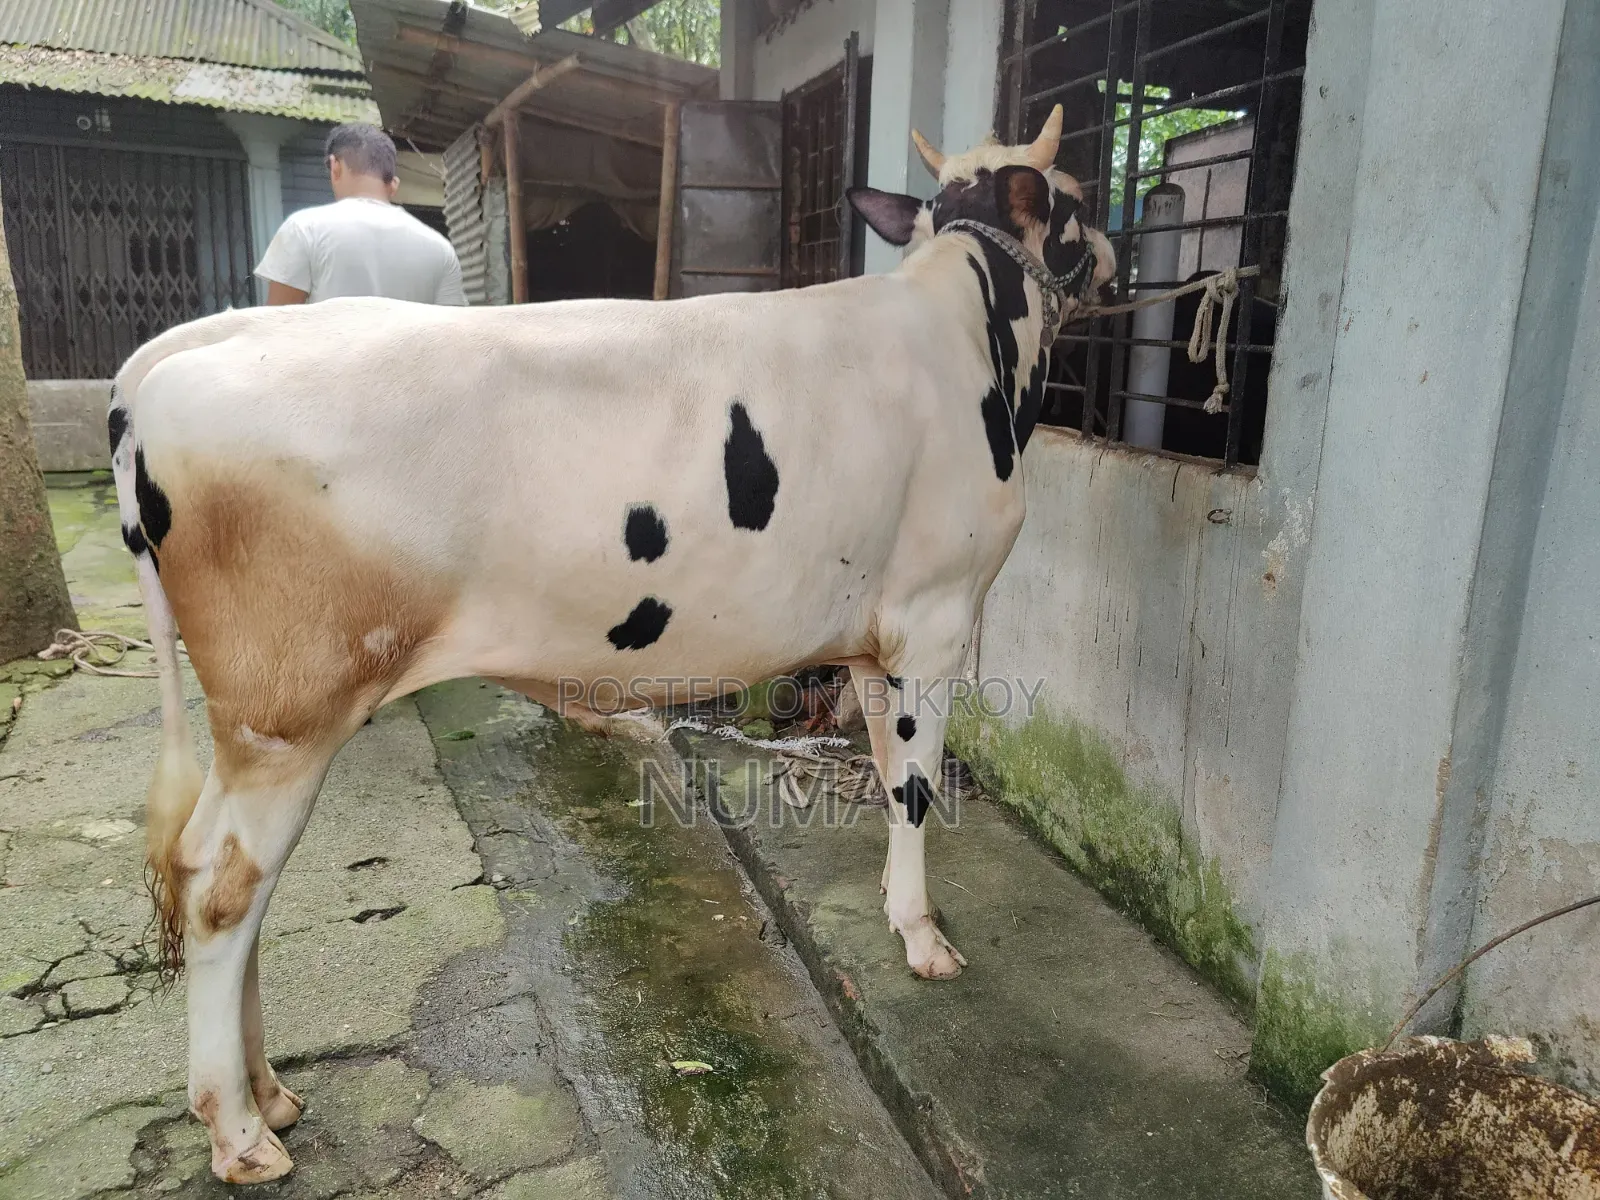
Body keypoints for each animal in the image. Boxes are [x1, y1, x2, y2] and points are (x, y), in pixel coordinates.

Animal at [109, 106, 1113, 1183]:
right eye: (1077, 201)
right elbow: (919, 785)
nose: (1112, 250)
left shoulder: (875, 636)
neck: (967, 324)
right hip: (288, 714)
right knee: (224, 893)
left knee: (215, 875)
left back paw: (271, 1095)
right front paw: (925, 943)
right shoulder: (938, 613)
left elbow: (888, 773)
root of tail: (166, 363)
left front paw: (896, 910)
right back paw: (239, 1131)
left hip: (262, 726)